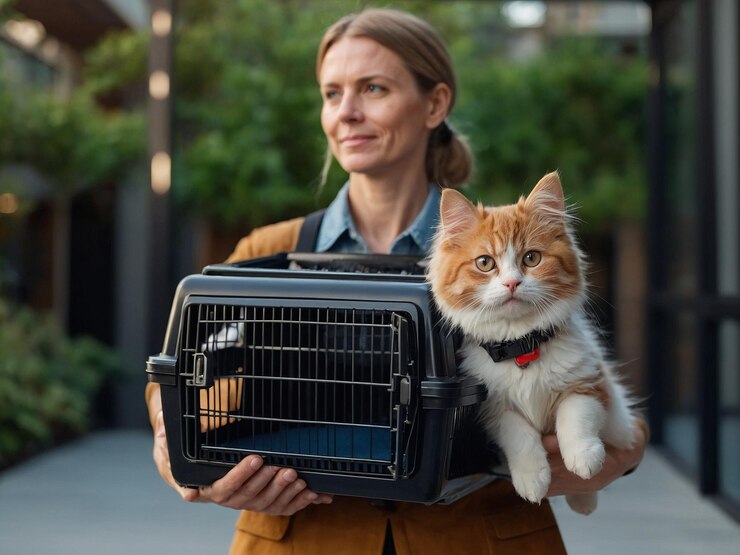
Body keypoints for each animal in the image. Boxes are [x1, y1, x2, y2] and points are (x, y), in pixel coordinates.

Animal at [428, 172, 636, 516]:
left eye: (532, 258)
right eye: (485, 263)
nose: (512, 283)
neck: (521, 346)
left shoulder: (591, 384)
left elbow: (574, 417)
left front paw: (584, 459)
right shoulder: (494, 411)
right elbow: (519, 436)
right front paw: (533, 480)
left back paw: (584, 501)